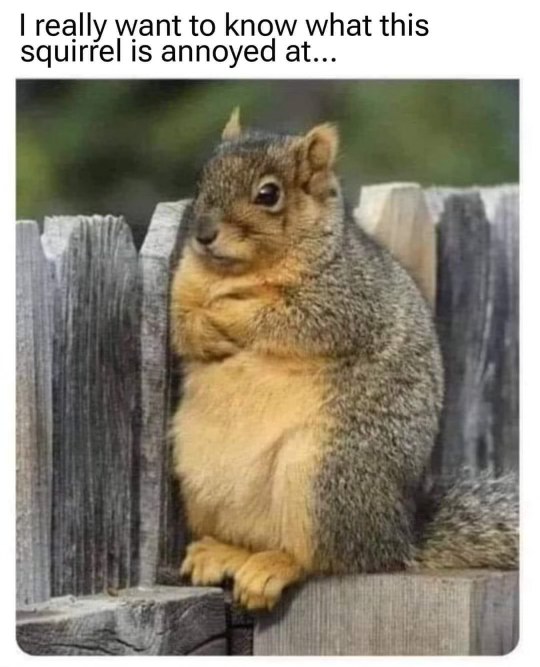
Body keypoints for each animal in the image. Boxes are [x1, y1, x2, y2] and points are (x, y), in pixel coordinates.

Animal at [169, 109, 518, 611]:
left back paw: (274, 567)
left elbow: (286, 318)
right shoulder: (182, 284)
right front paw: (203, 327)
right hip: (199, 475)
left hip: (323, 476)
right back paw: (223, 552)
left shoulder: (344, 297)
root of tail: (396, 538)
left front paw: (227, 313)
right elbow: (180, 324)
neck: (239, 273)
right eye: (202, 178)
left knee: (326, 558)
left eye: (268, 194)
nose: (203, 235)